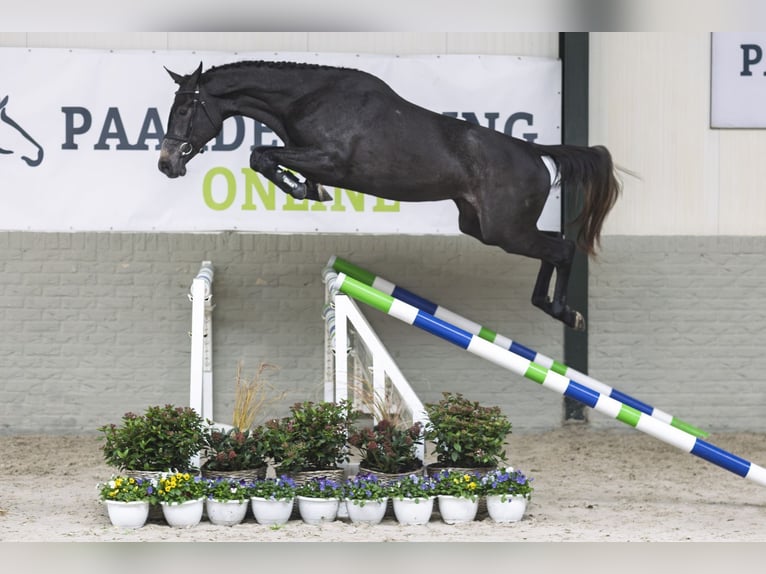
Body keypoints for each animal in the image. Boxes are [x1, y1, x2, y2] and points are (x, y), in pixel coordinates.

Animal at [159, 60, 620, 330]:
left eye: (183, 109)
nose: (166, 163)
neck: (309, 98)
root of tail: (533, 152)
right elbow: (263, 157)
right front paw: (305, 187)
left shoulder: (331, 159)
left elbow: (261, 155)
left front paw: (301, 187)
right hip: (484, 227)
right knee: (554, 245)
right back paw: (550, 306)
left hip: (505, 230)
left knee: (562, 249)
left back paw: (565, 313)